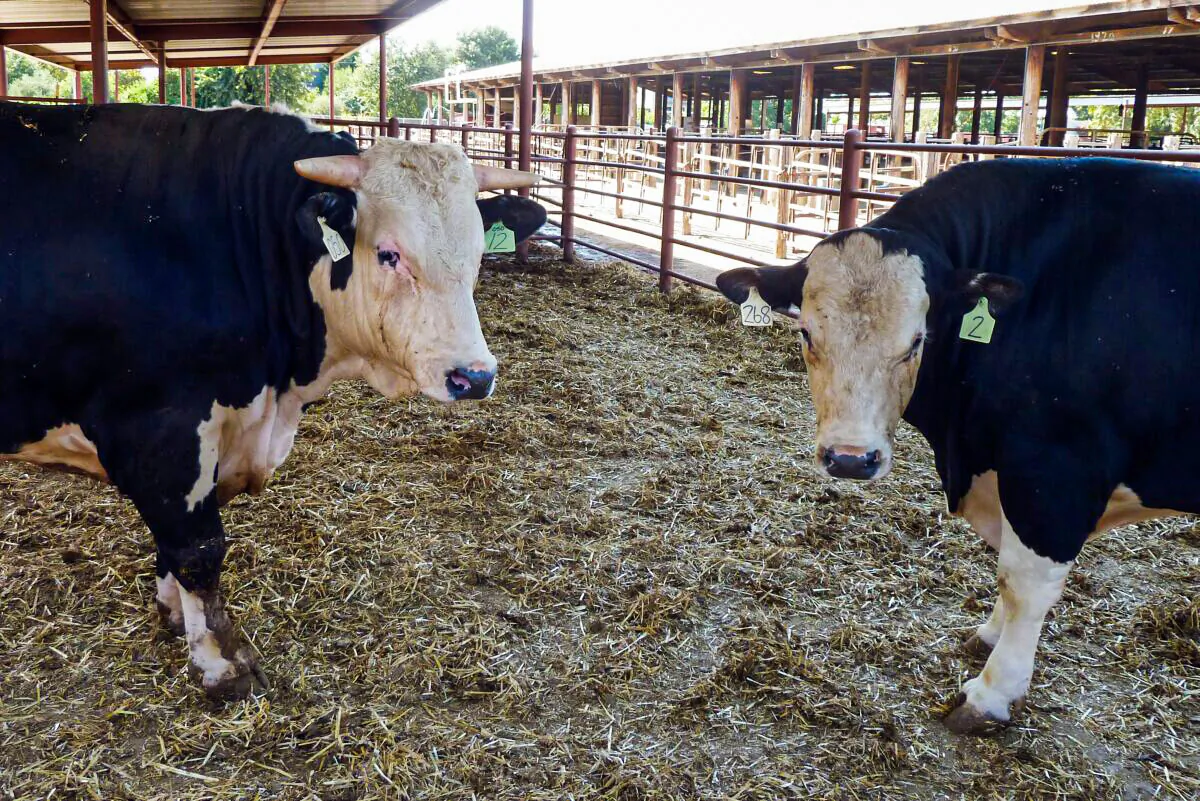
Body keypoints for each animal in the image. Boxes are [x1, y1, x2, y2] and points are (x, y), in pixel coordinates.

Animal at [0, 101, 538, 700]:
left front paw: (174, 614)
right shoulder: (158, 428)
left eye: (478, 255)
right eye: (388, 253)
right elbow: (198, 548)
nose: (474, 376)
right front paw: (220, 662)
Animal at [716, 157, 1200, 734]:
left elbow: (1025, 583)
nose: (851, 459)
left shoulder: (1055, 474)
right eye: (807, 333)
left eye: (917, 341)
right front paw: (988, 635)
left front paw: (991, 693)